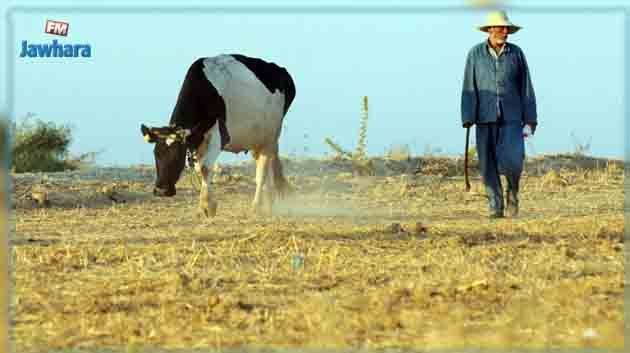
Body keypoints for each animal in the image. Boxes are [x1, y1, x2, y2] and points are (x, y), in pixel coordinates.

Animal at [141, 53, 296, 216]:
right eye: (156, 154)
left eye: (177, 155)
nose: (161, 191)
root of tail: (281, 70)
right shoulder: (198, 138)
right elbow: (199, 168)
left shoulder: (218, 134)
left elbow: (205, 167)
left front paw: (207, 206)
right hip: (258, 139)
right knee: (268, 162)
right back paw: (270, 200)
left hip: (269, 137)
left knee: (262, 170)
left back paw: (257, 205)